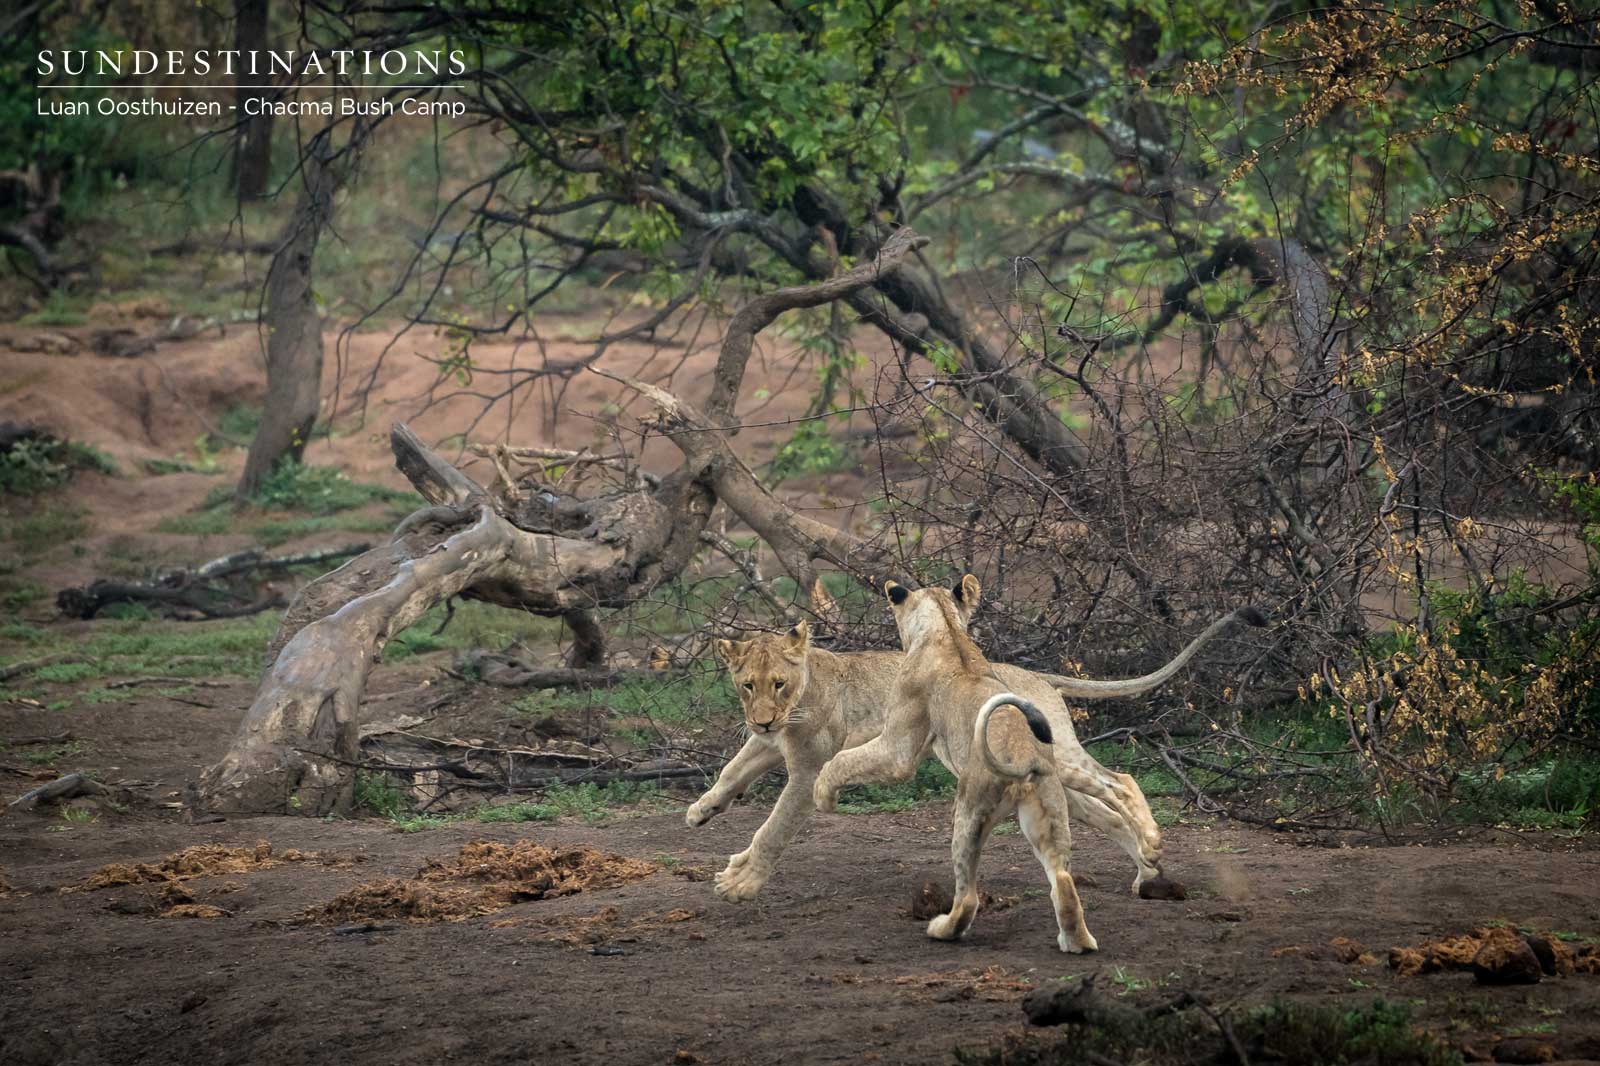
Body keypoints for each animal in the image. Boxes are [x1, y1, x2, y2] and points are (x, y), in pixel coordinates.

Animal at [689, 579, 1262, 909]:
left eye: (778, 683)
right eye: (747, 686)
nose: (762, 719)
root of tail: (1036, 675)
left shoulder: (813, 763)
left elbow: (775, 827)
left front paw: (741, 881)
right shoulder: (772, 745)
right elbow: (732, 770)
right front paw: (702, 811)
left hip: (1060, 758)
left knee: (1119, 780)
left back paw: (1148, 847)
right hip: (1053, 782)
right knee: (1106, 812)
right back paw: (1146, 866)